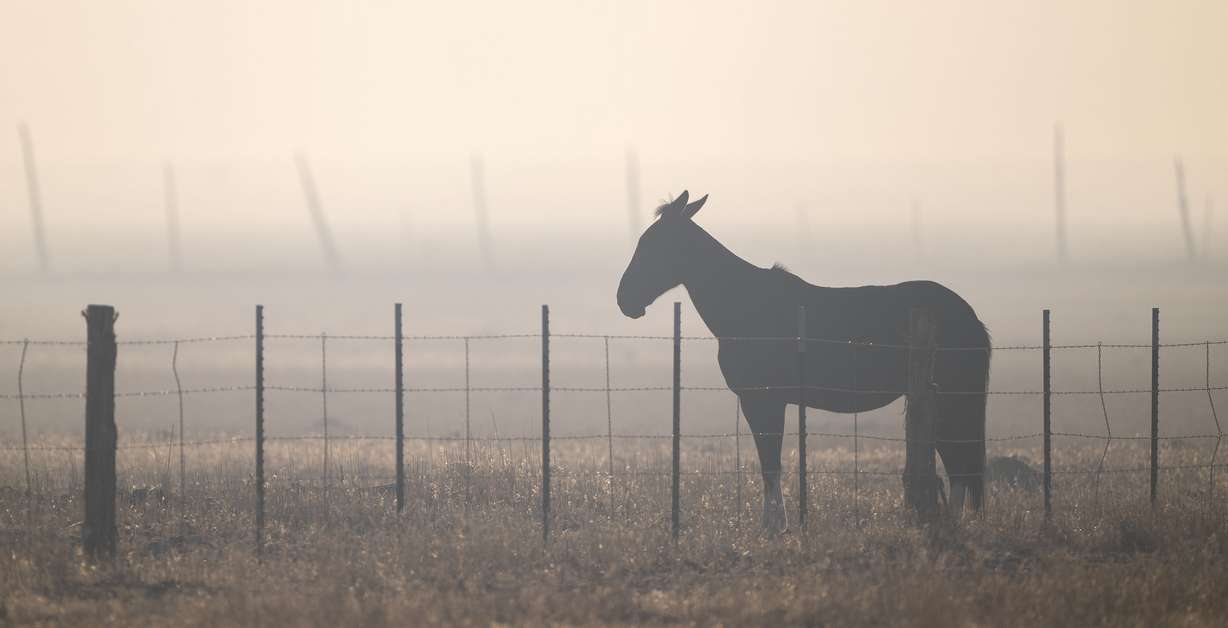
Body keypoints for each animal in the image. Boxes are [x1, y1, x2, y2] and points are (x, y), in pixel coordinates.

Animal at [616, 191, 991, 531]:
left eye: (652, 244)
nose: (624, 300)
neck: (745, 305)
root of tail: (969, 315)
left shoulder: (763, 400)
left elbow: (770, 463)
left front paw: (773, 527)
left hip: (952, 400)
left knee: (959, 463)